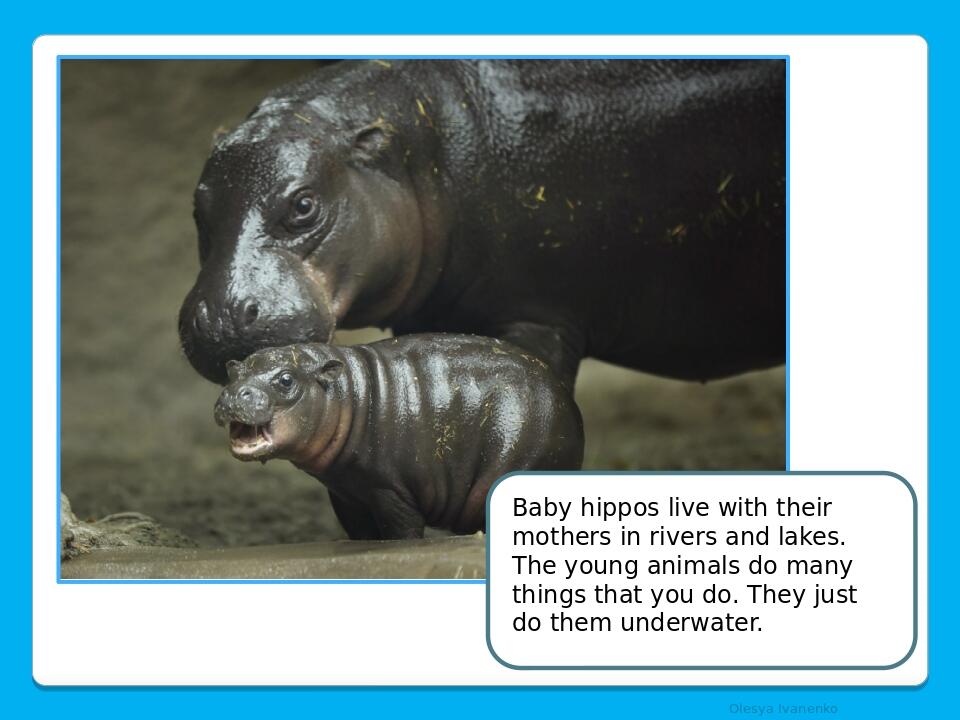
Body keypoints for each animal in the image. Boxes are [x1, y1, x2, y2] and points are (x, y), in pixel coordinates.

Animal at [213, 335, 583, 539]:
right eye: (233, 371)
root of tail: (570, 405)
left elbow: (402, 534)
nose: (232, 394)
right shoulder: (346, 493)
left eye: (286, 380)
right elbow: (361, 534)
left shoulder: (391, 491)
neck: (351, 394)